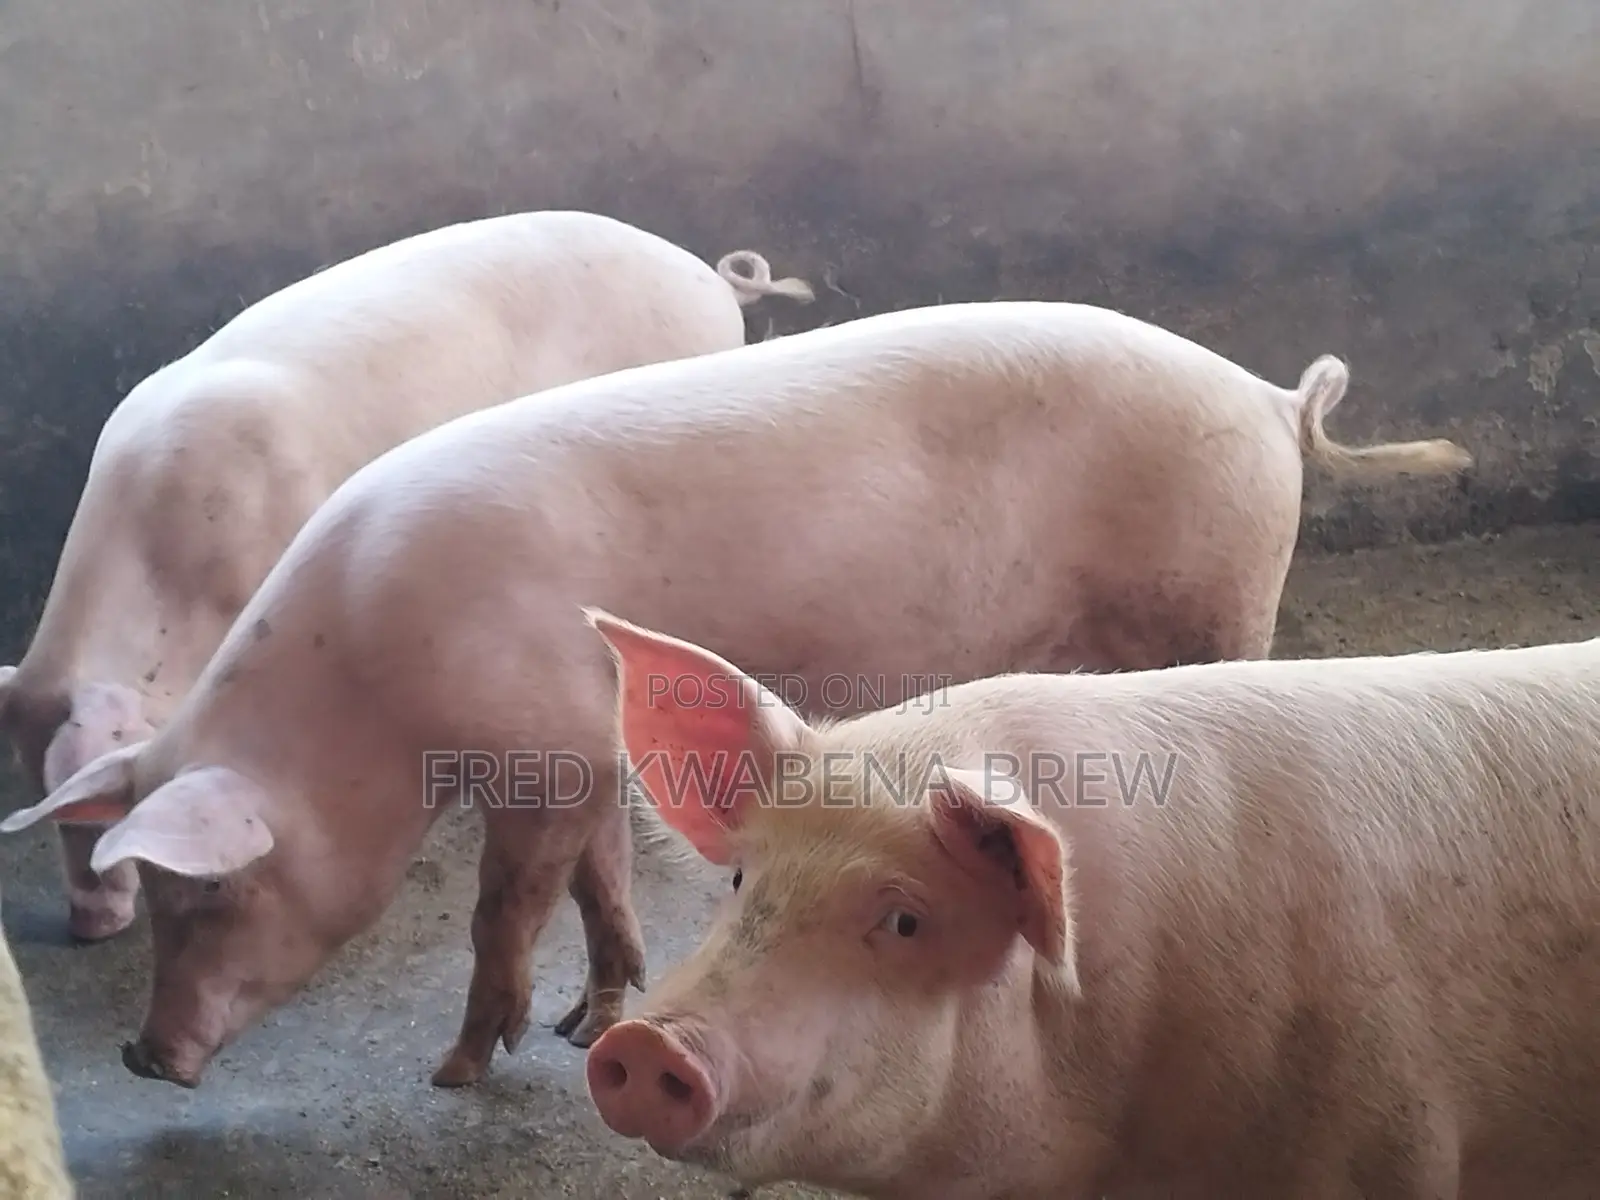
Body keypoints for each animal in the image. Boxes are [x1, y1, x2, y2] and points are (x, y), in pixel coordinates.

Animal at [0, 300, 1471, 1092]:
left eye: (206, 896)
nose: (138, 1060)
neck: (369, 687)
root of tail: (1266, 399)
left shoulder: (532, 758)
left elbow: (499, 914)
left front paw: (462, 1068)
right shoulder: (587, 749)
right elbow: (598, 884)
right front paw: (589, 1020)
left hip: (1218, 596)